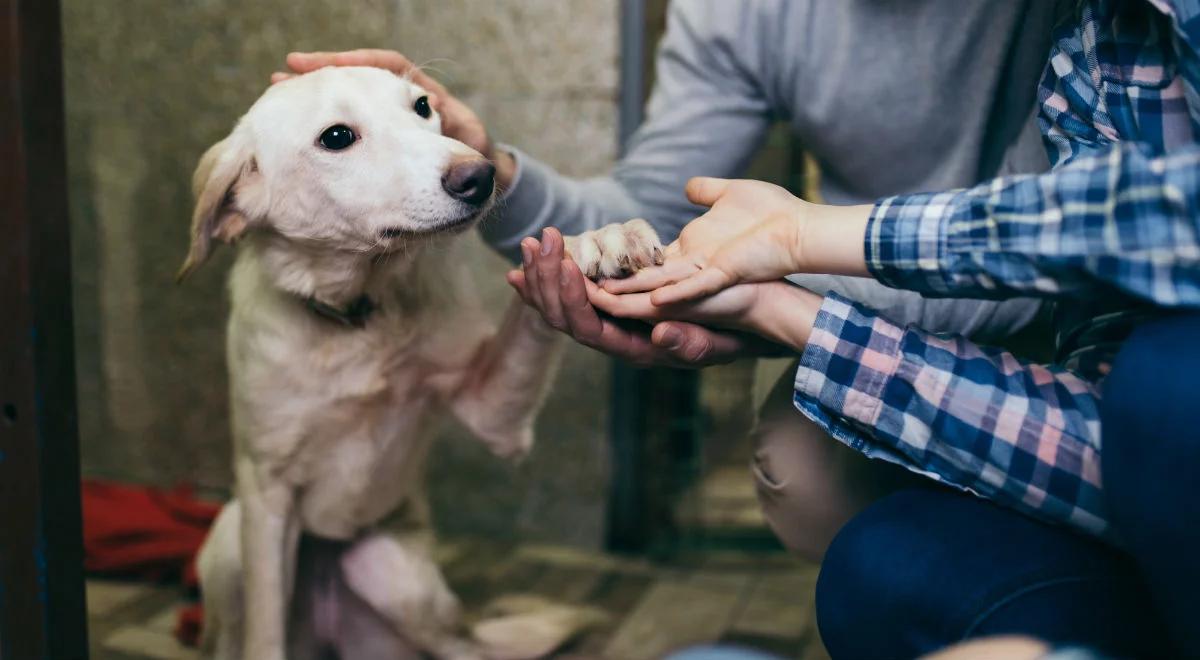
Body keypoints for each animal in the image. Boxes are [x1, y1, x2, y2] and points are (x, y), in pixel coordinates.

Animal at [182, 68, 662, 660]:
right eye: (336, 137)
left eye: (423, 107)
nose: (479, 175)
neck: (359, 316)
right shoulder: (267, 495)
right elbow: (264, 634)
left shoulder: (493, 412)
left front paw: (592, 241)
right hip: (231, 540)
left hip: (396, 577)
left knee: (466, 649)